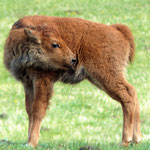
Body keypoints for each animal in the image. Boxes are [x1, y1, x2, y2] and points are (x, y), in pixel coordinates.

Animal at [4, 15, 141, 148]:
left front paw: (32, 143)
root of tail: (117, 31)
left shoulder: (42, 80)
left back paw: (125, 141)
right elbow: (29, 110)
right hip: (101, 78)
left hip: (107, 76)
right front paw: (27, 141)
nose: (73, 59)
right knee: (132, 92)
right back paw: (136, 139)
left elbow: (38, 109)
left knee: (127, 97)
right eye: (55, 44)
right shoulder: (27, 83)